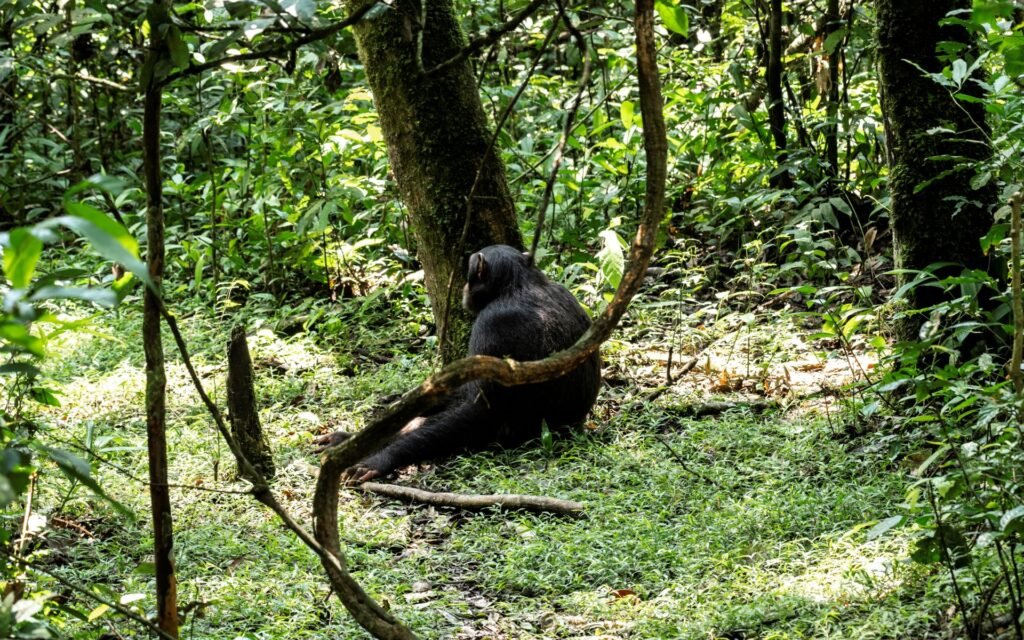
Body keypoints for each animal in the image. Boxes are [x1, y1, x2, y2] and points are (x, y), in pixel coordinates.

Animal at [314, 245, 602, 484]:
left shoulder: (491, 326)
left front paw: (381, 460)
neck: (517, 285)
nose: (463, 288)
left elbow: (477, 408)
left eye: (469, 272)